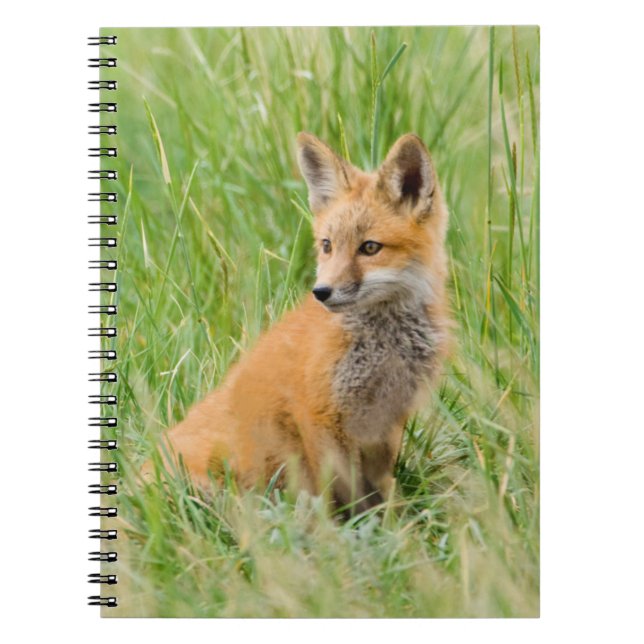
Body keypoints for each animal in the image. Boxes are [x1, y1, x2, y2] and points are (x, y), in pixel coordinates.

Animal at [142, 132, 450, 513]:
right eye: (327, 245)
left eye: (370, 248)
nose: (321, 292)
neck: (384, 345)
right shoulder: (318, 413)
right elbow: (343, 492)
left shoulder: (386, 421)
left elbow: (380, 488)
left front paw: (395, 520)